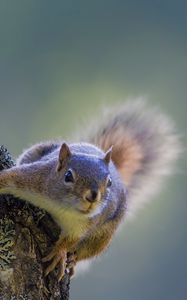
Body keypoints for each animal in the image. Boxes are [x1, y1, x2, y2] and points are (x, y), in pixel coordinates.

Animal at [0, 101, 180, 282]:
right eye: (68, 176)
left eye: (109, 182)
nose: (92, 196)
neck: (63, 208)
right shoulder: (36, 179)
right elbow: (12, 177)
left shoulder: (83, 225)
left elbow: (70, 240)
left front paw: (60, 253)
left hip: (103, 237)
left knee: (86, 251)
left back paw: (73, 261)